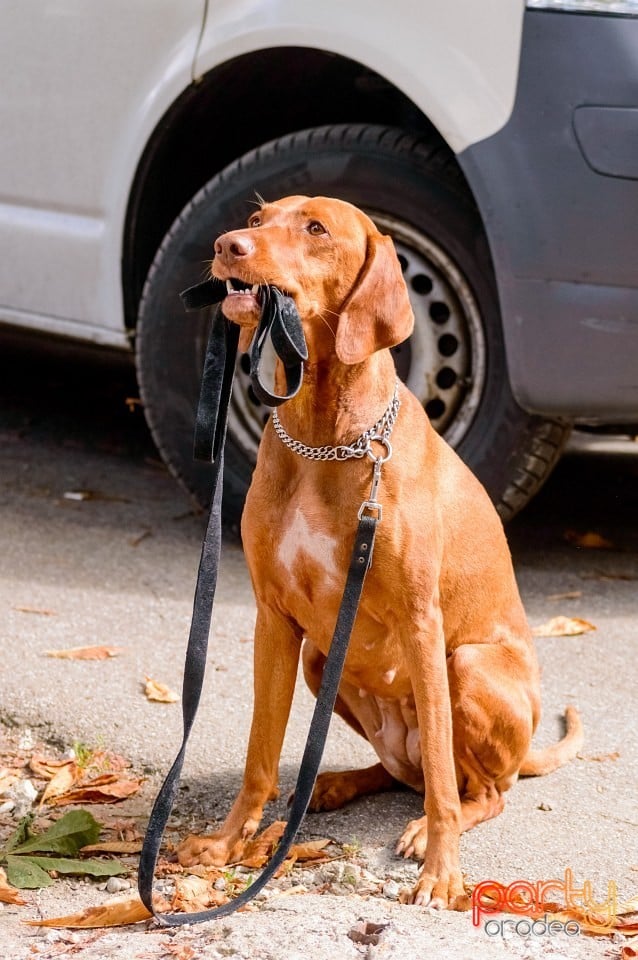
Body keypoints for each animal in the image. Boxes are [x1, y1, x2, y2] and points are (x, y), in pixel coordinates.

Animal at [176, 197, 584, 908]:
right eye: (257, 217)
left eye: (315, 228)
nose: (227, 245)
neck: (323, 435)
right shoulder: (273, 620)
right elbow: (259, 755)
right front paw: (229, 844)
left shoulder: (423, 624)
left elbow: (446, 786)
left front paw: (443, 871)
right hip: (321, 662)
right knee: (405, 774)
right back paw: (334, 784)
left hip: (464, 666)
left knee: (476, 789)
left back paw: (426, 828)